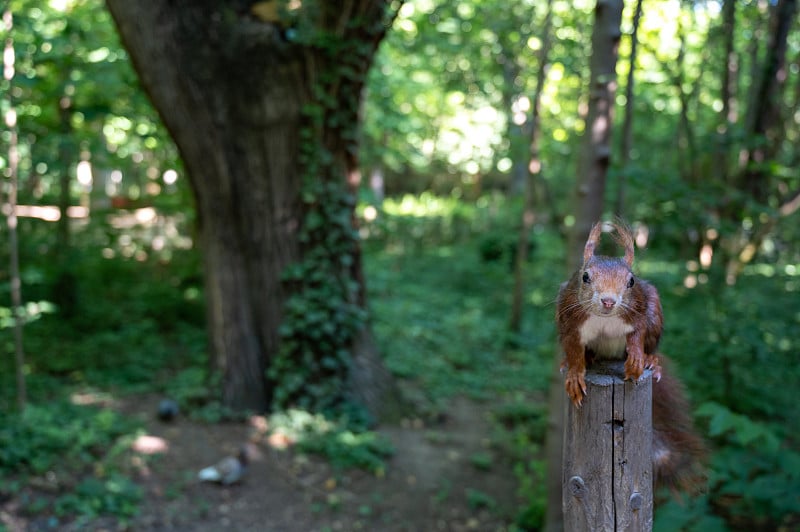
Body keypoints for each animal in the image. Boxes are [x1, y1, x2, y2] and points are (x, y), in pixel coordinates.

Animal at [556, 221, 708, 490]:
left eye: (631, 281)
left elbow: (637, 334)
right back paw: (585, 360)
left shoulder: (639, 308)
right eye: (584, 277)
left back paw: (651, 361)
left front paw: (638, 358)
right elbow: (573, 348)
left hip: (655, 307)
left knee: (649, 342)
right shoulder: (569, 317)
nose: (608, 301)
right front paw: (574, 372)